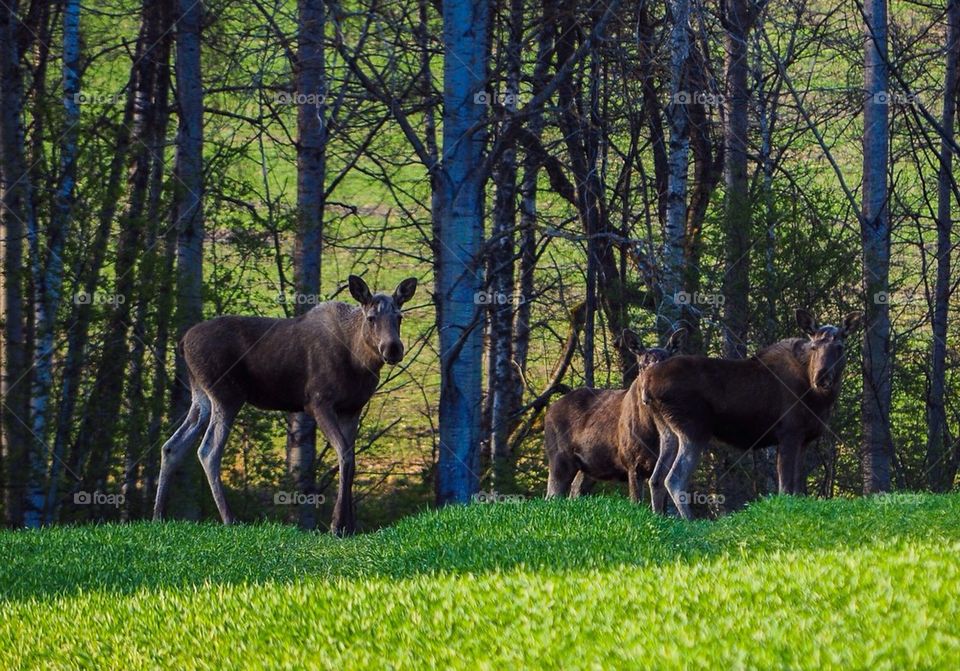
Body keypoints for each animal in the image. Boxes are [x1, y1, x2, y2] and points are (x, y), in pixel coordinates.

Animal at [154, 274, 416, 536]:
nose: (393, 348)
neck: (358, 360)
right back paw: (230, 519)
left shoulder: (352, 408)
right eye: (371, 318)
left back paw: (158, 515)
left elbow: (351, 456)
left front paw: (349, 526)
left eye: (399, 317)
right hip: (225, 395)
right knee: (208, 451)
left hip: (201, 396)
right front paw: (336, 525)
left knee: (172, 446)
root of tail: (182, 343)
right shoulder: (319, 402)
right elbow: (344, 454)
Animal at [544, 328, 688, 506]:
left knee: (575, 490)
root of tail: (549, 410)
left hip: (589, 467)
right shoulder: (632, 462)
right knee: (551, 495)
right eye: (641, 365)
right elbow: (636, 502)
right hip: (558, 456)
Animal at [644, 310, 864, 520]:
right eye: (814, 347)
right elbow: (785, 488)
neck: (820, 400)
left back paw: (660, 518)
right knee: (674, 479)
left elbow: (797, 487)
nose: (822, 378)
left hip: (667, 431)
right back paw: (691, 521)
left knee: (656, 478)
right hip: (694, 430)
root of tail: (647, 384)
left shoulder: (805, 440)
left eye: (840, 347)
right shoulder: (789, 434)